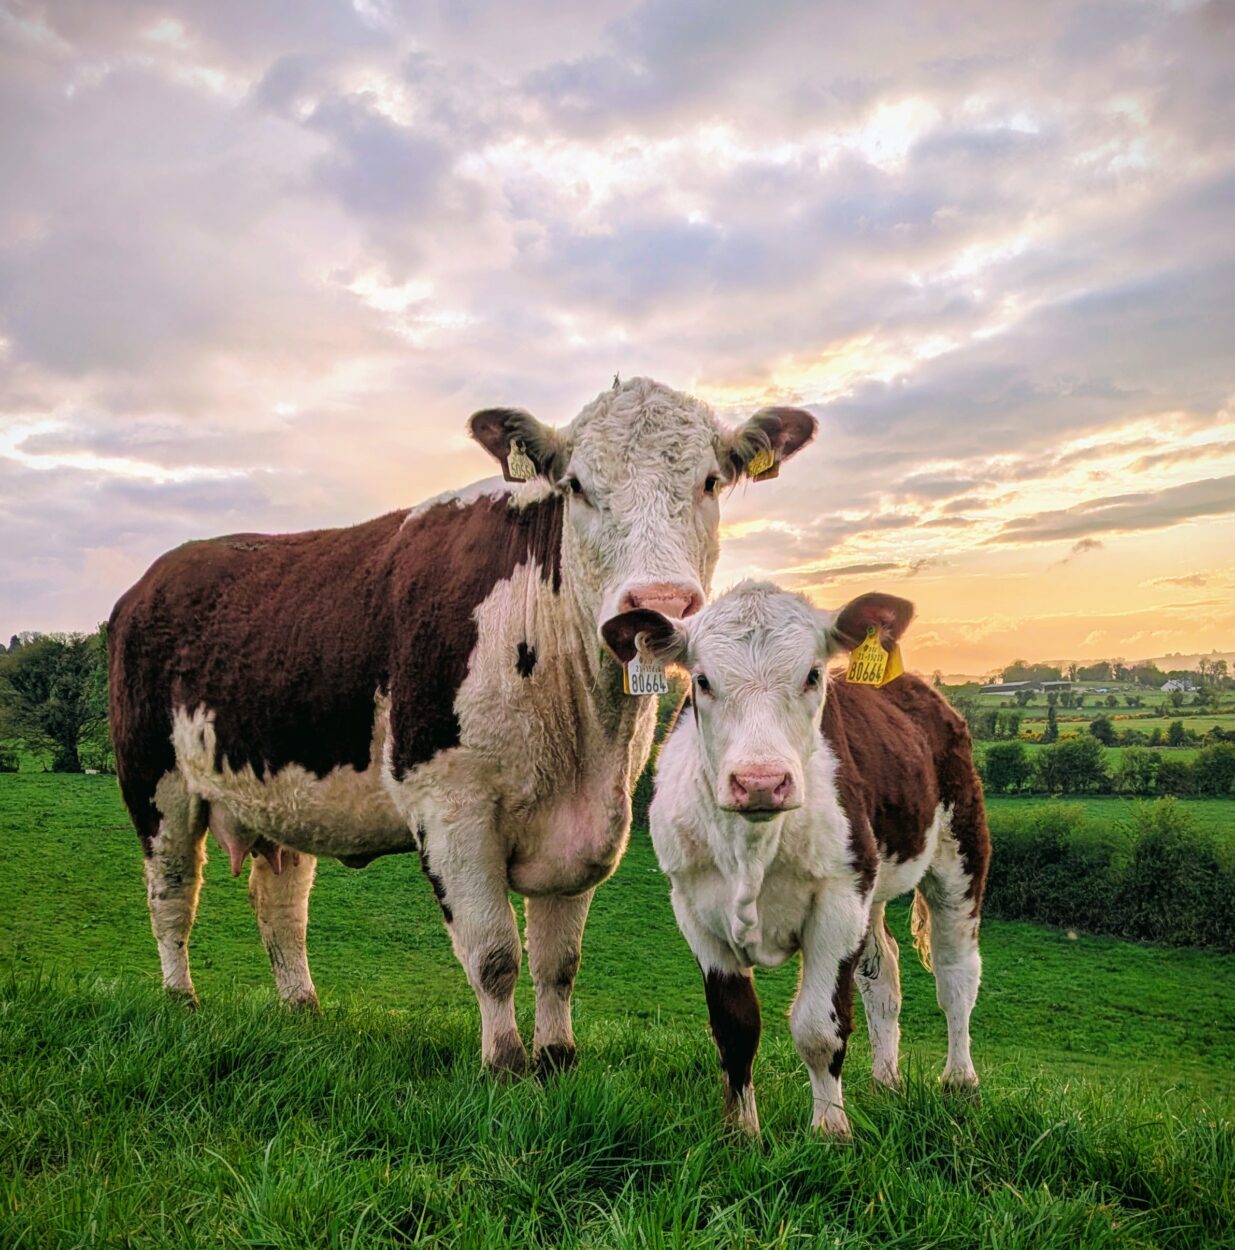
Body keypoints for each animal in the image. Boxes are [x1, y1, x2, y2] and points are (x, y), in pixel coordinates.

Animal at [108, 377, 816, 1075]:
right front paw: (504, 1063)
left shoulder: (589, 823)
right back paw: (181, 999)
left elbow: (559, 962)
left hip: (276, 791)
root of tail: (155, 577)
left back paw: (302, 1009)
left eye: (710, 481)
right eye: (577, 486)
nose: (659, 606)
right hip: (155, 783)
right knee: (171, 892)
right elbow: (495, 953)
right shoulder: (450, 808)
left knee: (279, 903)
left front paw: (556, 1058)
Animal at [602, 581, 989, 1134]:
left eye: (811, 674)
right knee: (883, 975)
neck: (751, 850)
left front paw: (831, 1131)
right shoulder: (694, 907)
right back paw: (886, 1081)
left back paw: (960, 1081)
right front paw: (741, 1133)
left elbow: (818, 1028)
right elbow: (735, 1027)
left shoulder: (838, 900)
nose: (761, 781)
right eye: (702, 680)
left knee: (956, 973)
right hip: (872, 882)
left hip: (959, 851)